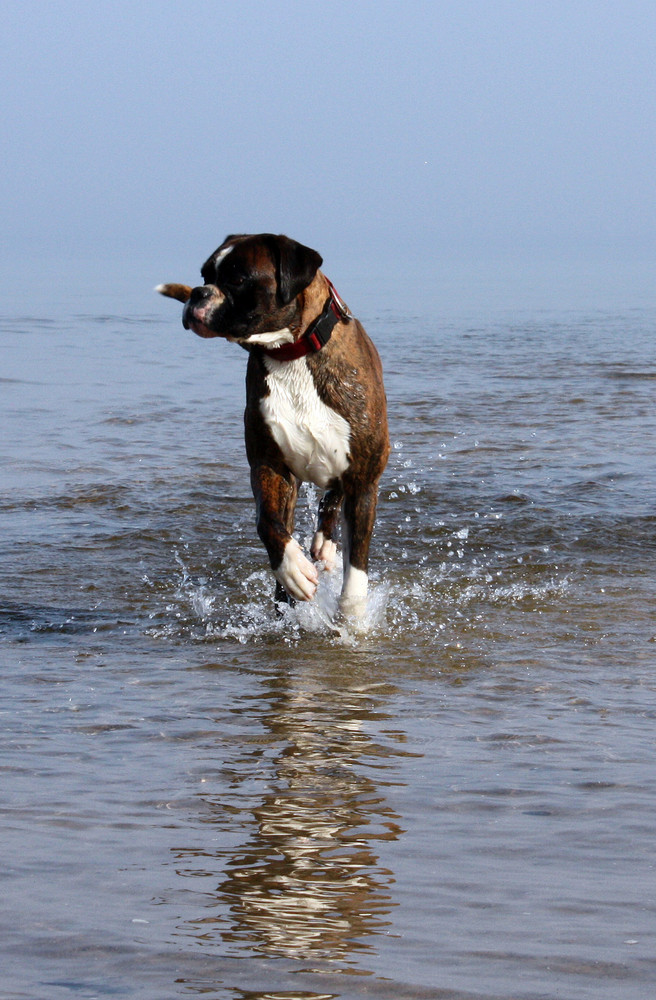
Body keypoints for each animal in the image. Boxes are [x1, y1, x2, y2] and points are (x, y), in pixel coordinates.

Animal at [156, 235, 386, 620]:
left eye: (237, 279)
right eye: (204, 274)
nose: (198, 294)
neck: (291, 353)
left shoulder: (365, 479)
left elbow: (357, 567)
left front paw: (353, 617)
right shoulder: (269, 466)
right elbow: (268, 523)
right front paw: (292, 570)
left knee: (335, 497)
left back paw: (325, 544)